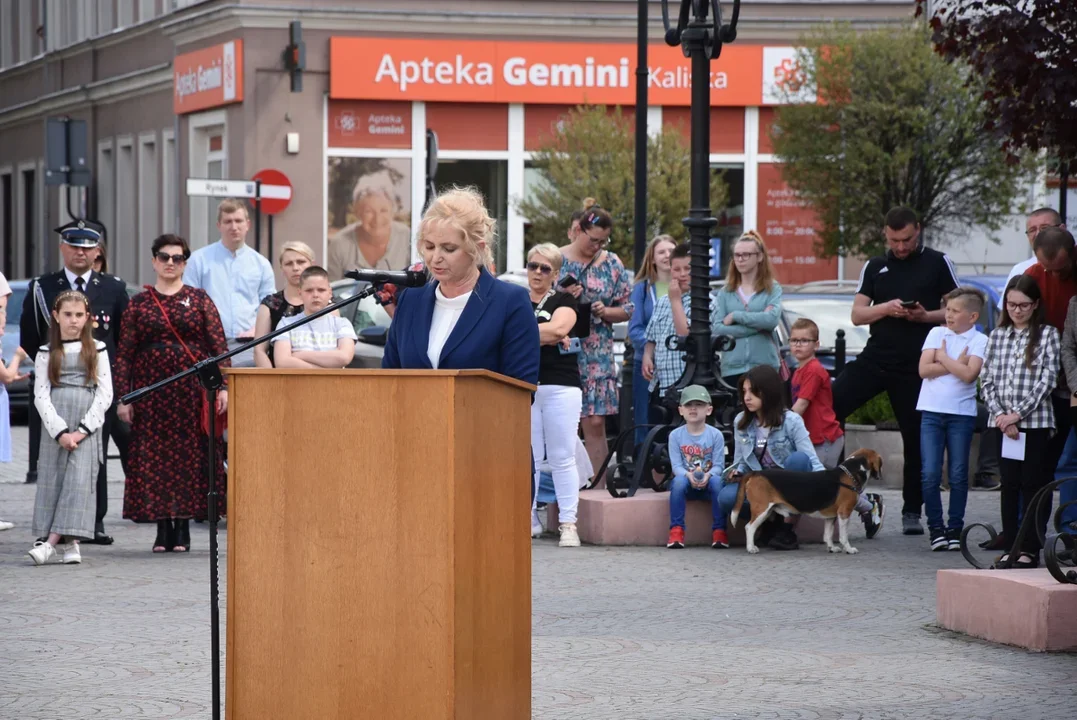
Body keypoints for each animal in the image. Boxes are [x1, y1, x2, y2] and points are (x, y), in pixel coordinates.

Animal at [732, 449, 883, 555]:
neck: (849, 473)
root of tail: (756, 473)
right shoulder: (844, 513)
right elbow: (843, 536)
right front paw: (849, 549)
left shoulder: (831, 516)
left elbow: (828, 534)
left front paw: (831, 548)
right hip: (761, 509)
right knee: (749, 527)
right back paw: (751, 548)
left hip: (768, 511)